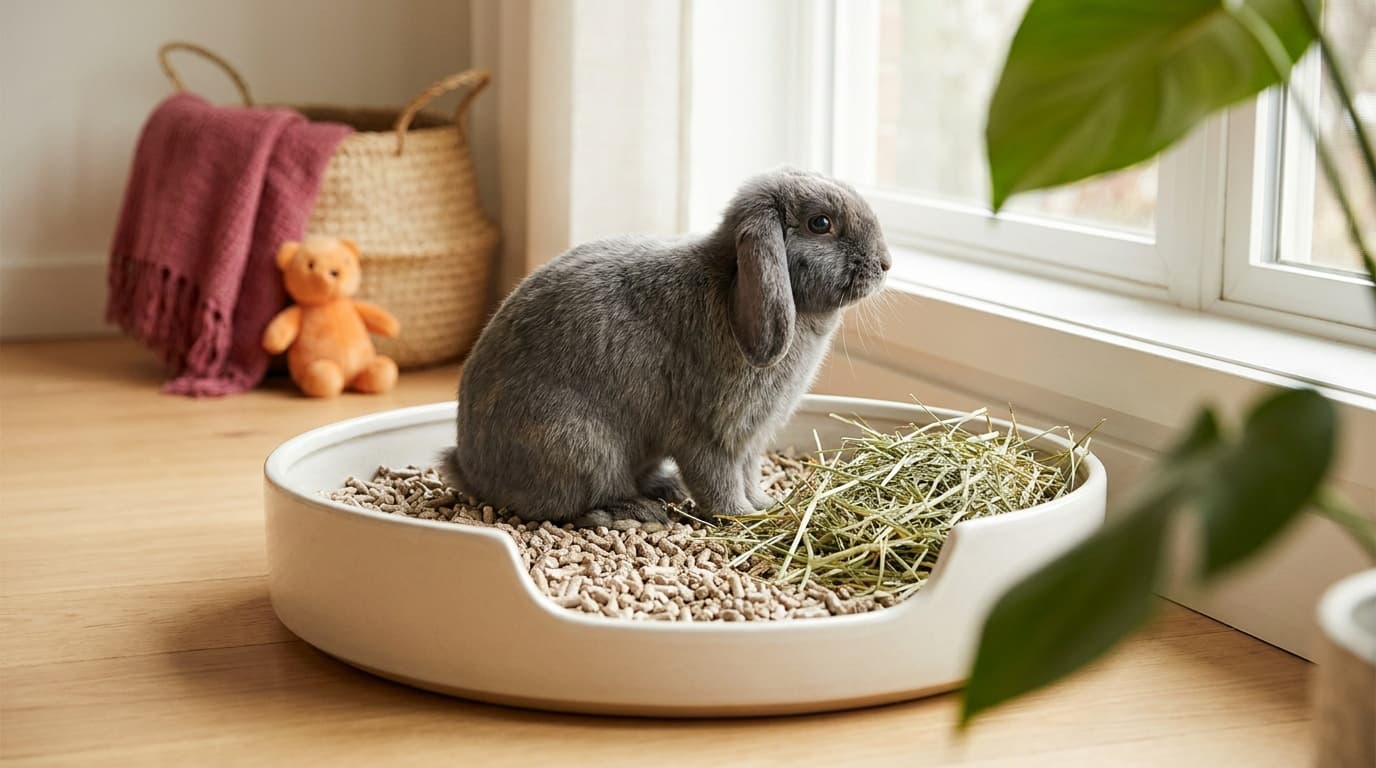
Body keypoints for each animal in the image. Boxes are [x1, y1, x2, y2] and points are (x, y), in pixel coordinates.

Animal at [442, 168, 891, 527]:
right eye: (820, 223)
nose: (886, 264)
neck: (730, 283)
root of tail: (472, 471)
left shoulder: (749, 442)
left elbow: (748, 476)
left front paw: (766, 505)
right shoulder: (710, 436)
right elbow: (719, 482)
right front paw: (742, 516)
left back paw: (664, 488)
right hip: (582, 446)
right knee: (572, 506)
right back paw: (634, 512)